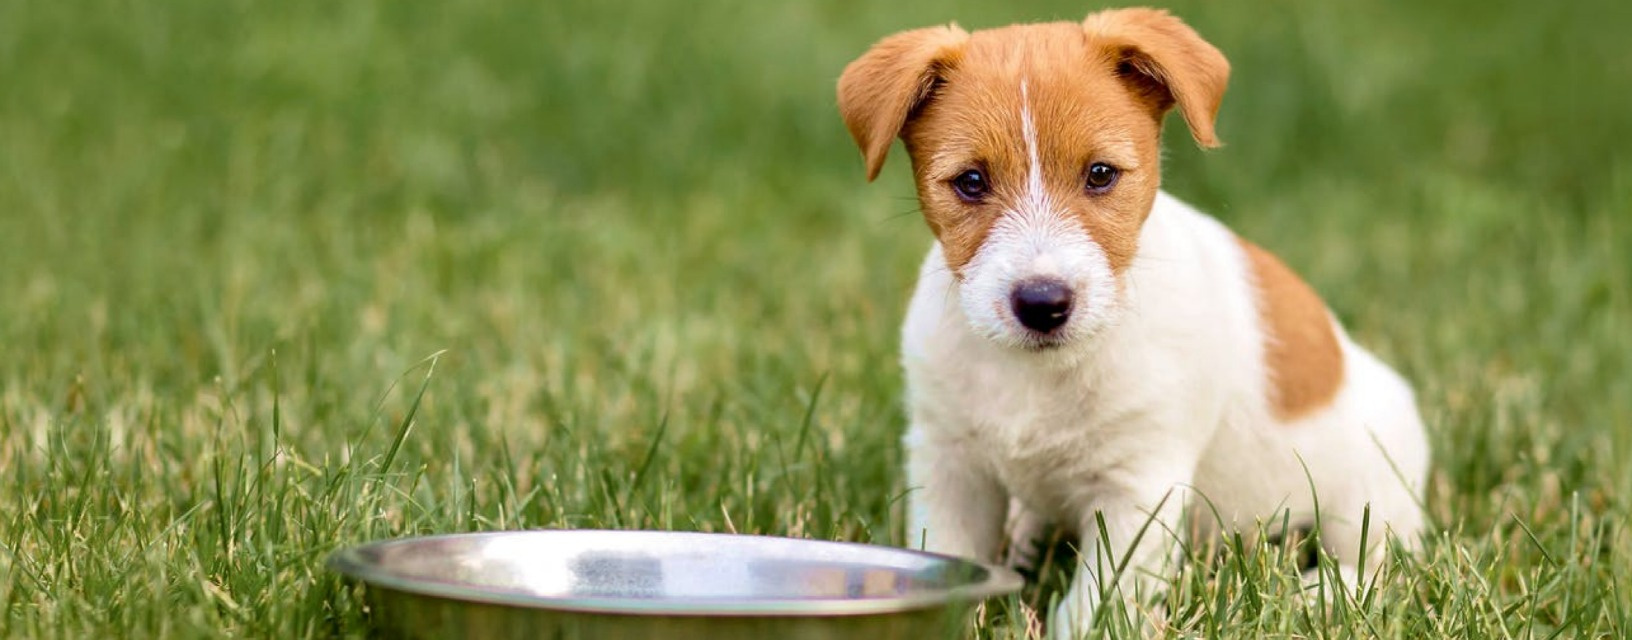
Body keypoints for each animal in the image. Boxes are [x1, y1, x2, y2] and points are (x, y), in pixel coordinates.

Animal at [842, 7, 1429, 636]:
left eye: (1101, 174)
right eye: (971, 182)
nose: (1042, 302)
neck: (1038, 374)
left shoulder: (1137, 488)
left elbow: (1095, 602)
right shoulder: (950, 465)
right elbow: (951, 556)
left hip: (1369, 494)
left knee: (1378, 564)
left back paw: (1316, 594)